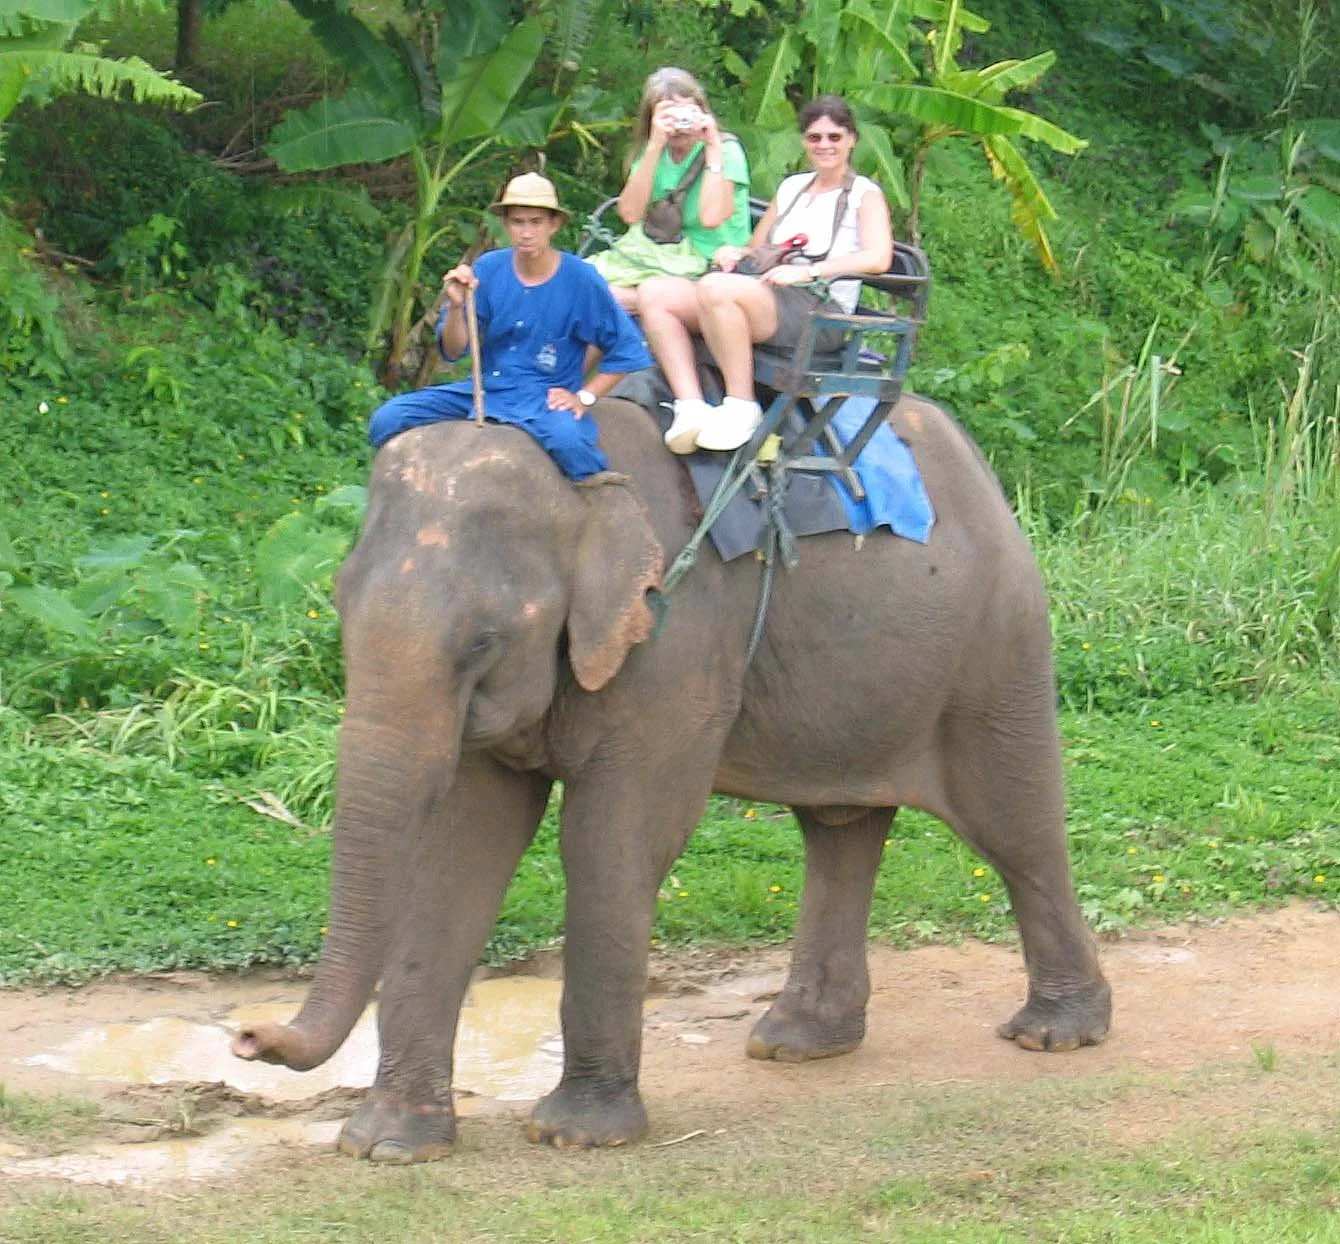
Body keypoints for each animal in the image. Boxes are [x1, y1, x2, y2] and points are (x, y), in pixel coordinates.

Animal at [232, 392, 1112, 1163]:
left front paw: (577, 1137)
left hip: (997, 642)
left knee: (1014, 824)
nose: (246, 1035)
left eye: (482, 639)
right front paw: (386, 1146)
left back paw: (1054, 1034)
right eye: (338, 607)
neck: (578, 484)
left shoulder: (675, 636)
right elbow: (459, 855)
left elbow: (612, 841)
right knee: (838, 827)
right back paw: (796, 1044)